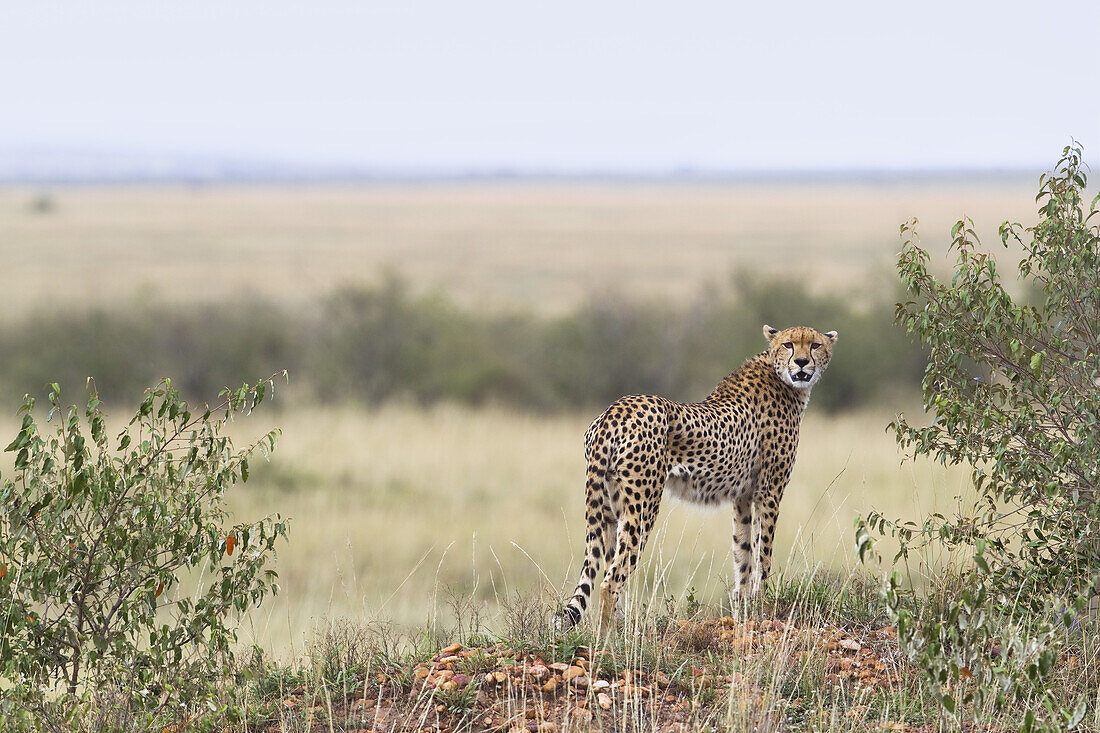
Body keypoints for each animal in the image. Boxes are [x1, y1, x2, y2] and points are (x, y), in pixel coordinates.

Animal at [554, 325, 836, 629]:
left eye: (815, 345)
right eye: (788, 344)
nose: (802, 363)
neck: (780, 376)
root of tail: (614, 410)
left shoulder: (743, 497)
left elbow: (743, 552)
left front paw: (744, 605)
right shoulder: (769, 491)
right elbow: (763, 553)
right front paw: (763, 603)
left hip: (609, 508)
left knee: (608, 565)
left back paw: (623, 628)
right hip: (643, 506)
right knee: (611, 580)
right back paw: (611, 637)